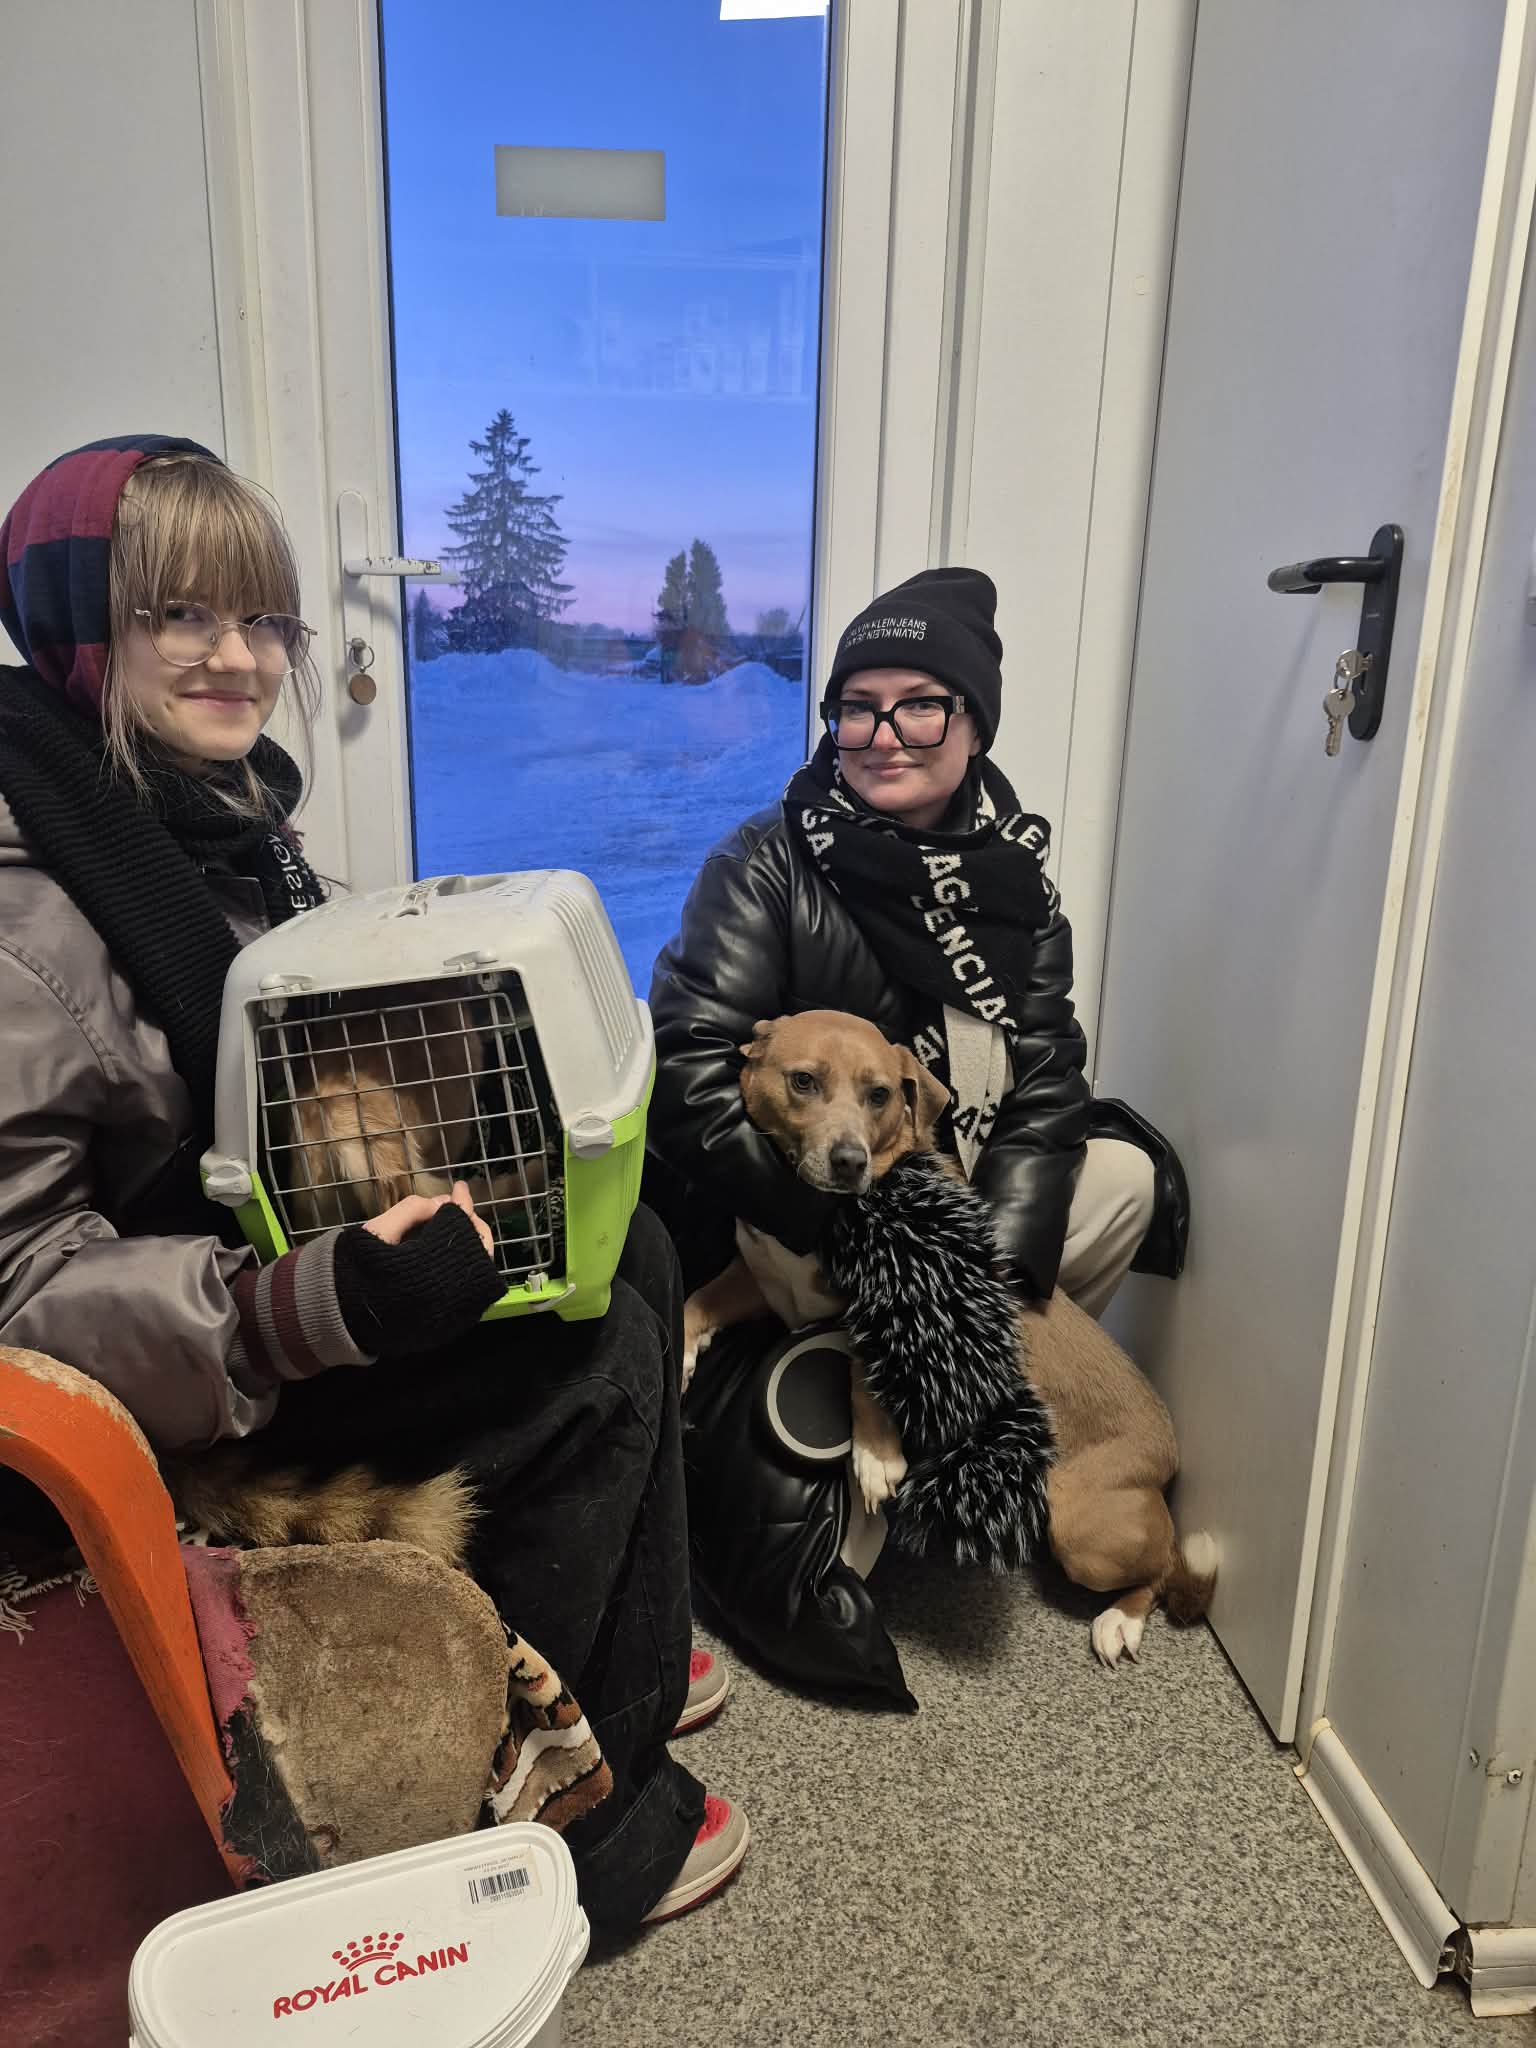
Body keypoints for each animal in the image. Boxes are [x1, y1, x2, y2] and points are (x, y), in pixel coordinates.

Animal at [681, 1010, 1216, 1665]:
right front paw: (681, 1356)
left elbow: (862, 1371)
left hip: (1084, 1530)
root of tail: (1168, 1454)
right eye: (803, 1081)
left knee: (1160, 1569)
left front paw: (877, 1455)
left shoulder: (888, 1311)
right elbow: (692, 1302)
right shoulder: (759, 1279)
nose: (849, 1161)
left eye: (879, 1094)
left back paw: (1122, 1621)